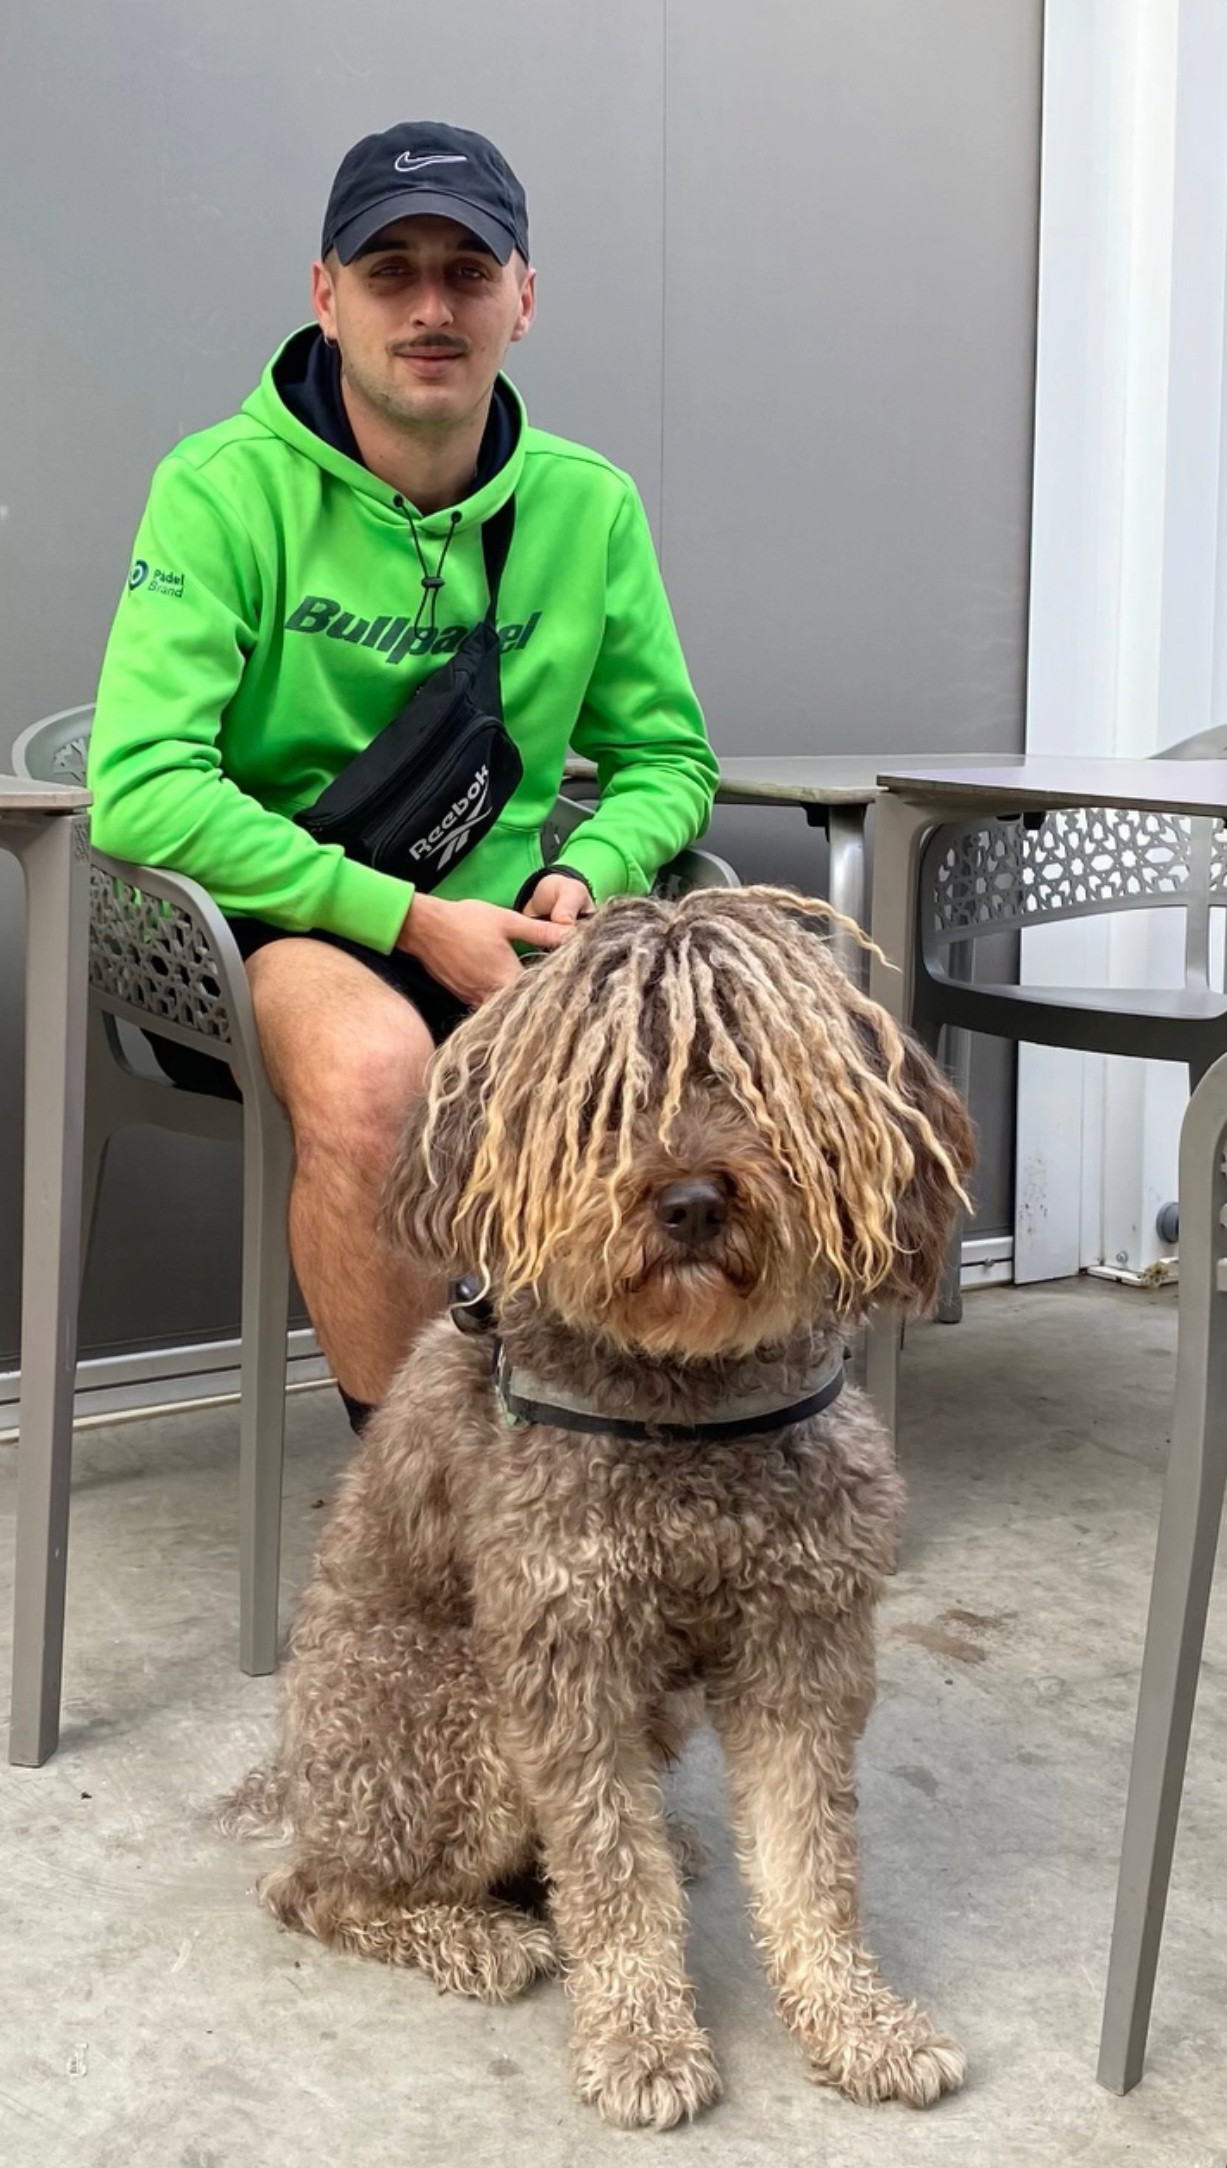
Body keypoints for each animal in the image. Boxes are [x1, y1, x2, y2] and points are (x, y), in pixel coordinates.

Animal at [222, 886, 975, 2129]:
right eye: (607, 1097)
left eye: (755, 1073)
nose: (691, 1201)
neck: (690, 1406)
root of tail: (294, 1779)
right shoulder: (565, 1655)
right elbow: (609, 1875)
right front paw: (642, 2039)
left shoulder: (803, 1640)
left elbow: (811, 1860)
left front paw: (857, 2020)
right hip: (458, 1722)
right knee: (314, 1891)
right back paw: (475, 1934)